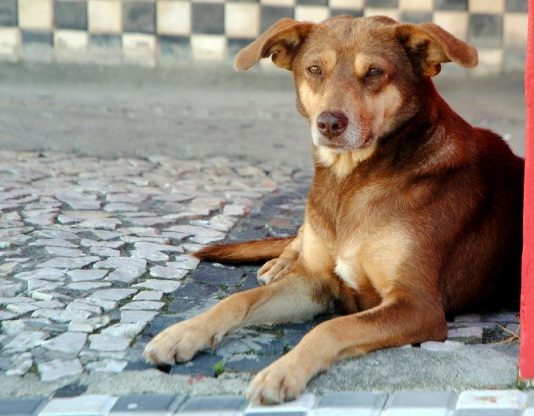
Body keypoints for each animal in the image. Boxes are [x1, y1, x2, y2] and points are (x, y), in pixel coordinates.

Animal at [144, 16, 524, 404]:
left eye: (374, 72)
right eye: (314, 69)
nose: (329, 123)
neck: (349, 180)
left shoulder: (418, 304)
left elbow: (332, 328)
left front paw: (283, 371)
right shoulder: (315, 281)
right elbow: (238, 300)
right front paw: (183, 333)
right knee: (297, 238)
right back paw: (280, 262)